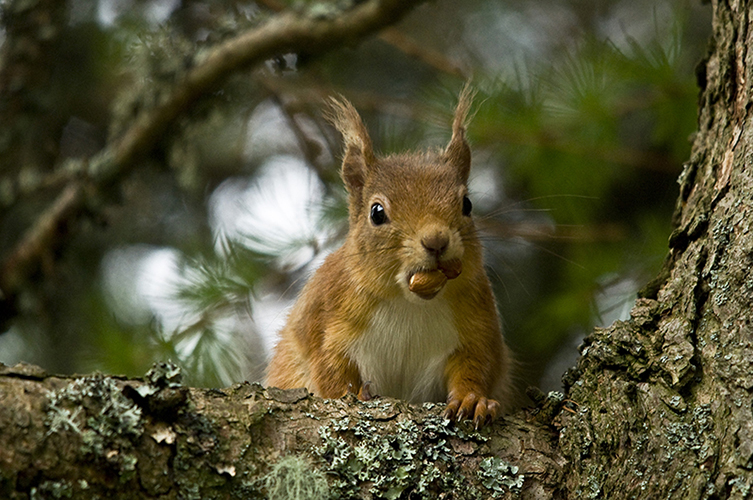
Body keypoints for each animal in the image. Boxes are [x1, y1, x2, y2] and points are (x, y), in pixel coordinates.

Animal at [265, 86, 511, 428]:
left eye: (467, 204)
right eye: (377, 212)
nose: (436, 241)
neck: (409, 304)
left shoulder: (477, 324)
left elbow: (476, 367)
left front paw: (472, 400)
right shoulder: (324, 320)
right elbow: (329, 370)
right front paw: (352, 395)